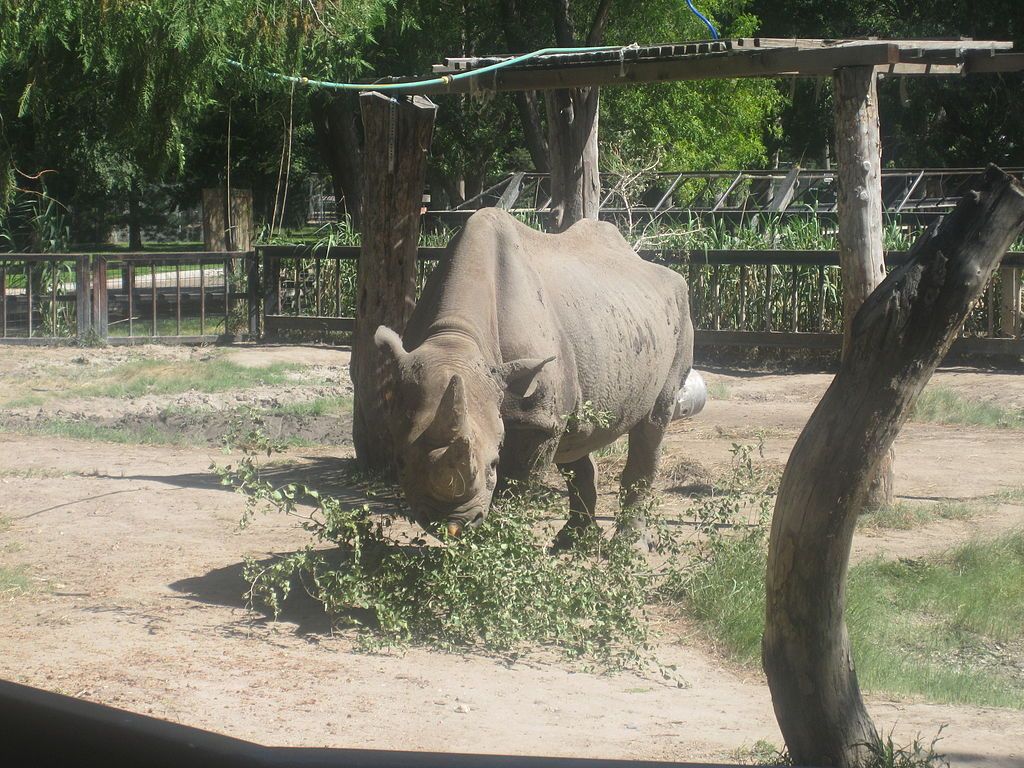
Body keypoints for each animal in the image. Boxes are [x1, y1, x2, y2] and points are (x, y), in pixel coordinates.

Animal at [374, 207, 696, 548]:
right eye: (400, 463)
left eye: (493, 465)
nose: (449, 521)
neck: (456, 338)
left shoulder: (533, 419)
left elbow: (515, 487)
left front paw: (496, 545)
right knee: (575, 437)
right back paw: (572, 542)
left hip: (679, 311)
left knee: (653, 422)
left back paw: (628, 546)